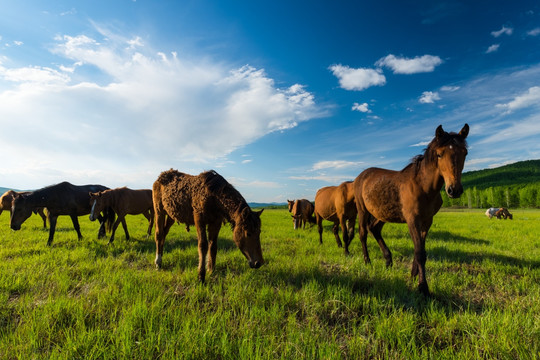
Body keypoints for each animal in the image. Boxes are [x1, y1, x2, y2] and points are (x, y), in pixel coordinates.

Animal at [354, 124, 468, 296]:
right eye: (440, 154)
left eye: (465, 153)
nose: (454, 190)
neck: (423, 186)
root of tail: (360, 176)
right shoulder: (412, 220)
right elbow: (420, 253)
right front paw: (423, 287)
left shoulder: (427, 221)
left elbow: (419, 249)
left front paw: (414, 275)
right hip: (362, 211)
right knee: (363, 233)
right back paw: (368, 261)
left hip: (383, 213)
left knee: (374, 229)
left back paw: (388, 260)